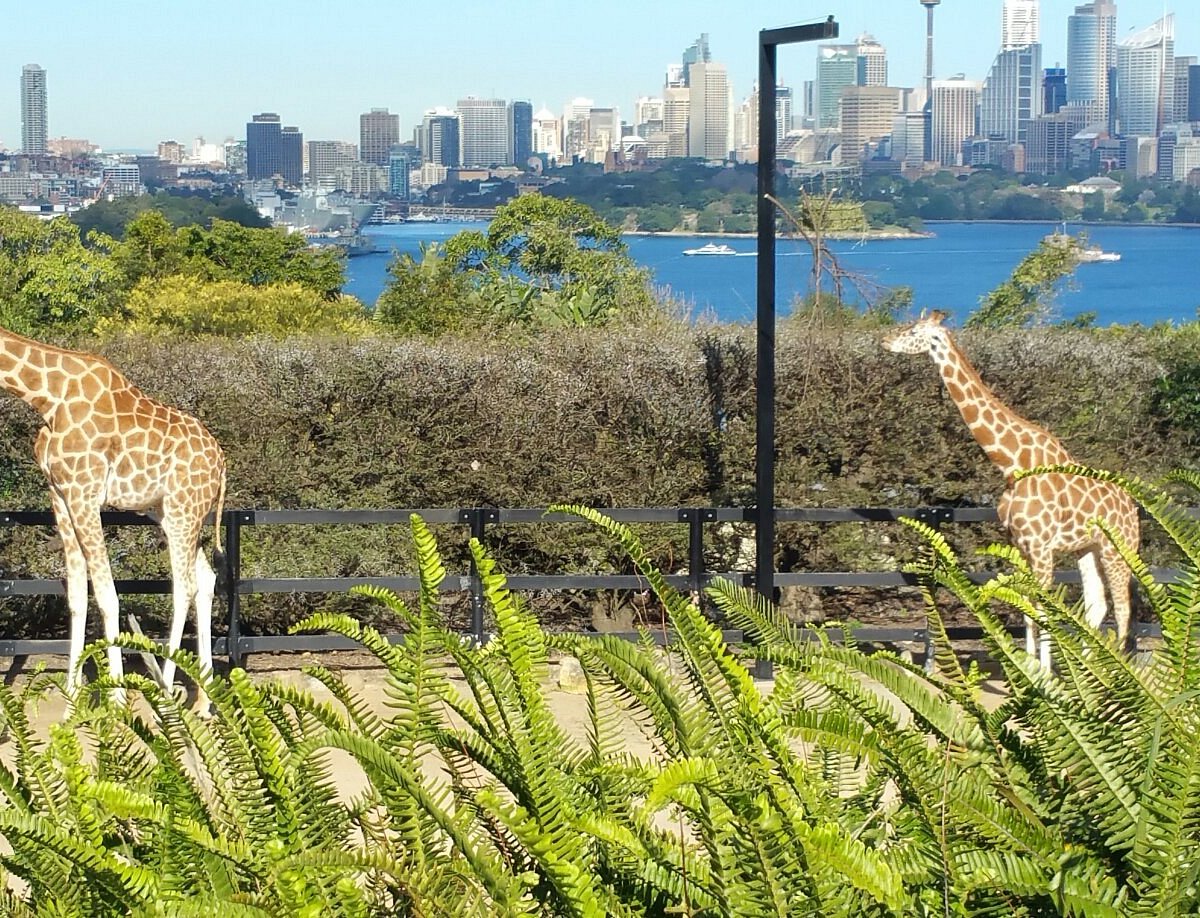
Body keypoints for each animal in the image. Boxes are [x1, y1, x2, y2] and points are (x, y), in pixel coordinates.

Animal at [0, 324, 225, 710]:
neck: (47, 397)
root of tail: (223, 465)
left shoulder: (85, 492)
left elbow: (107, 594)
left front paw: (117, 697)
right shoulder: (60, 494)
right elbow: (77, 596)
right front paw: (72, 699)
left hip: (183, 511)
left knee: (185, 586)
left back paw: (166, 688)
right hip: (172, 514)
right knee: (206, 578)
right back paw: (203, 703)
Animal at [888, 309, 1137, 667]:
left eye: (913, 331)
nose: (885, 340)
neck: (1012, 464)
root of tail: (1132, 507)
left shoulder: (1041, 546)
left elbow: (1043, 610)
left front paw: (1045, 675)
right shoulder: (1020, 544)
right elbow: (1027, 608)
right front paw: (1028, 667)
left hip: (1118, 546)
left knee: (1123, 607)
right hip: (1087, 547)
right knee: (1097, 604)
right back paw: (1091, 670)